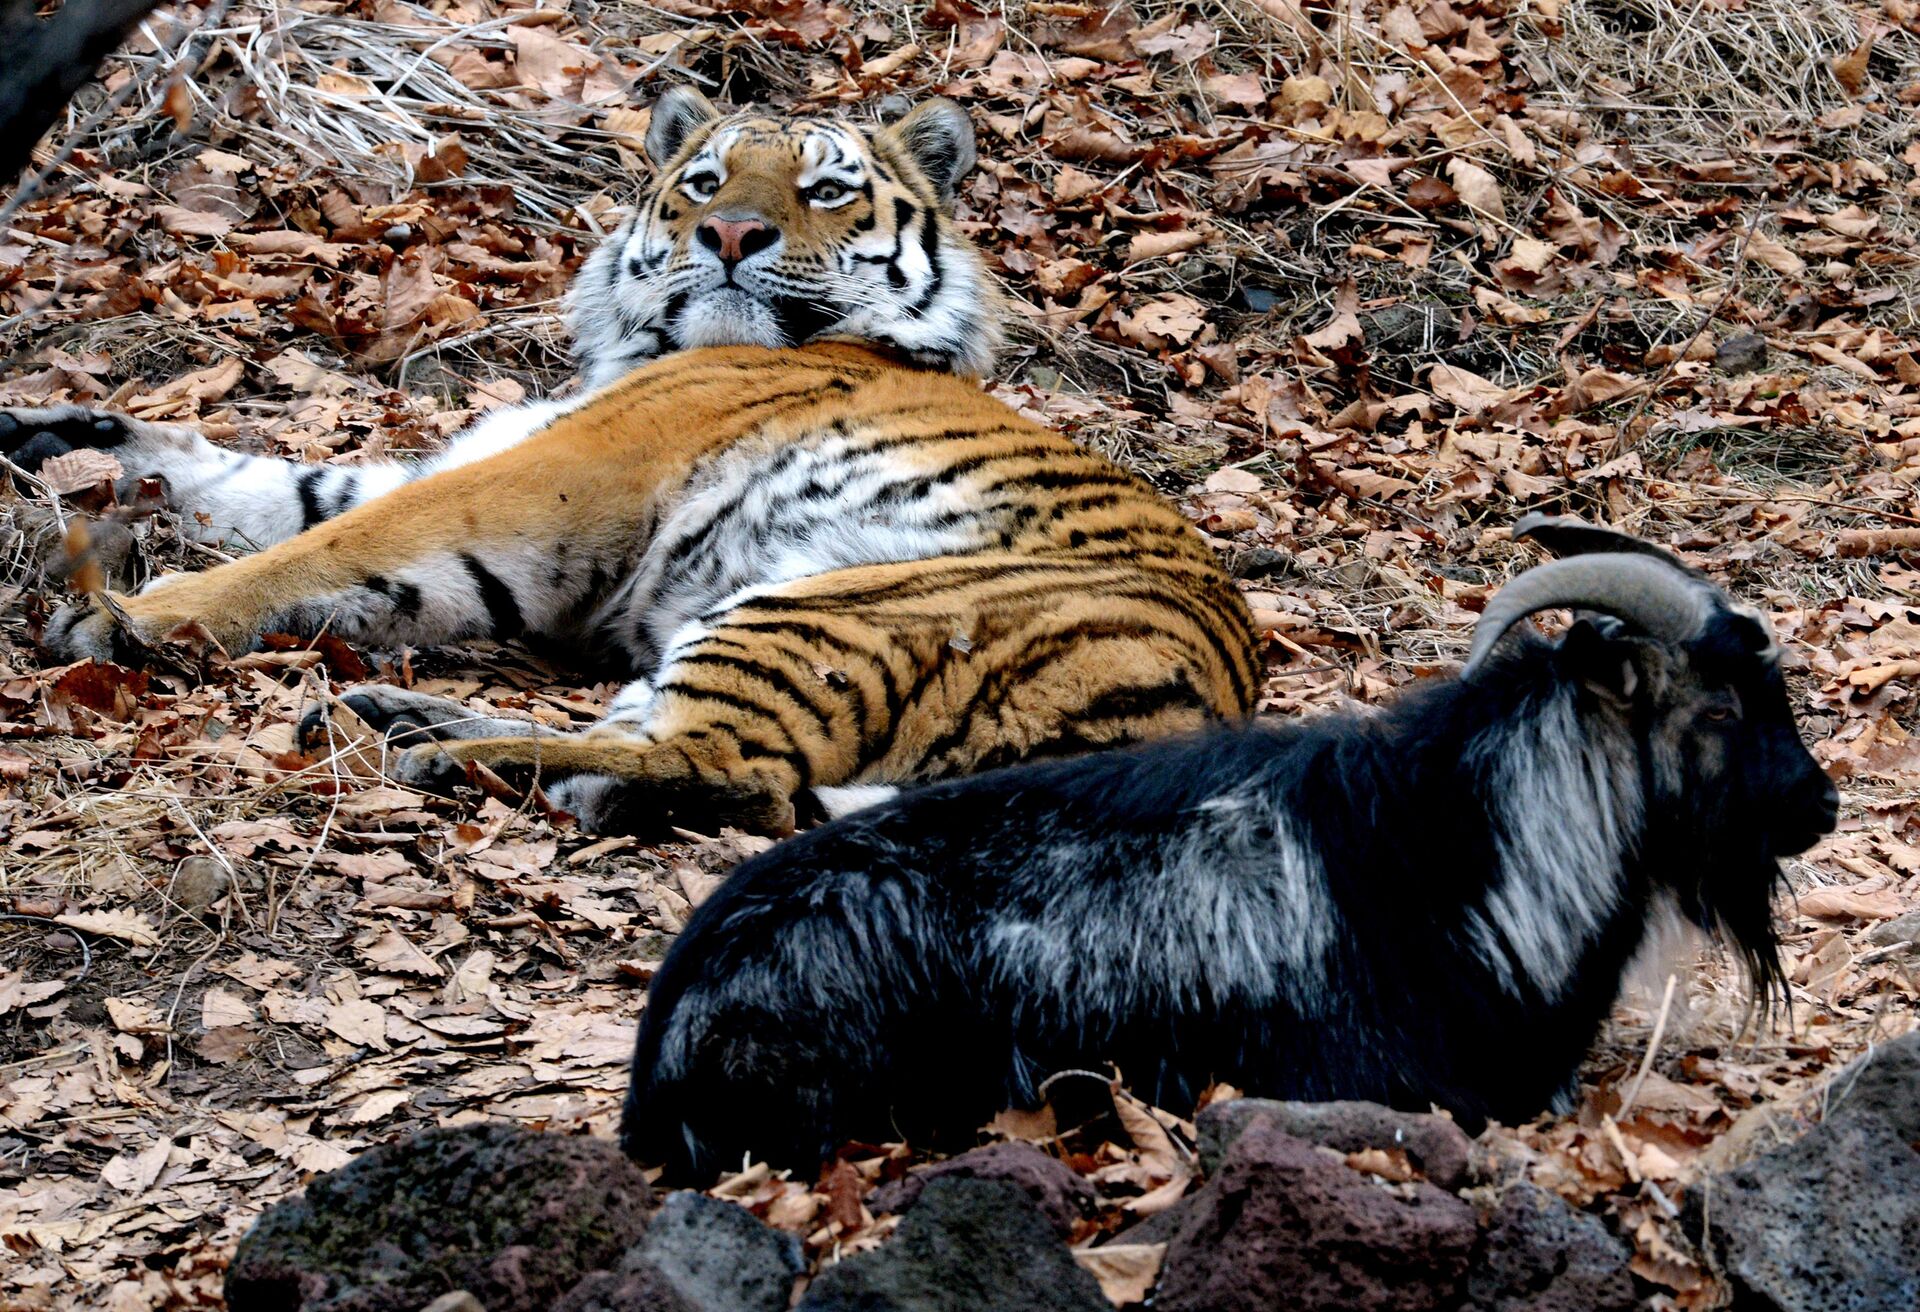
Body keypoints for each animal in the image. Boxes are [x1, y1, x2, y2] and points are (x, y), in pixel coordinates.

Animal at [7, 87, 1259, 837]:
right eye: (706, 181)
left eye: (827, 188)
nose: (731, 234)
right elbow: (262, 484)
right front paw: (55, 433)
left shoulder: (557, 472)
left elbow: (318, 543)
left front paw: (125, 616)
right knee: (643, 742)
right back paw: (412, 720)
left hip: (837, 605)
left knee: (729, 768)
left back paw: (443, 755)